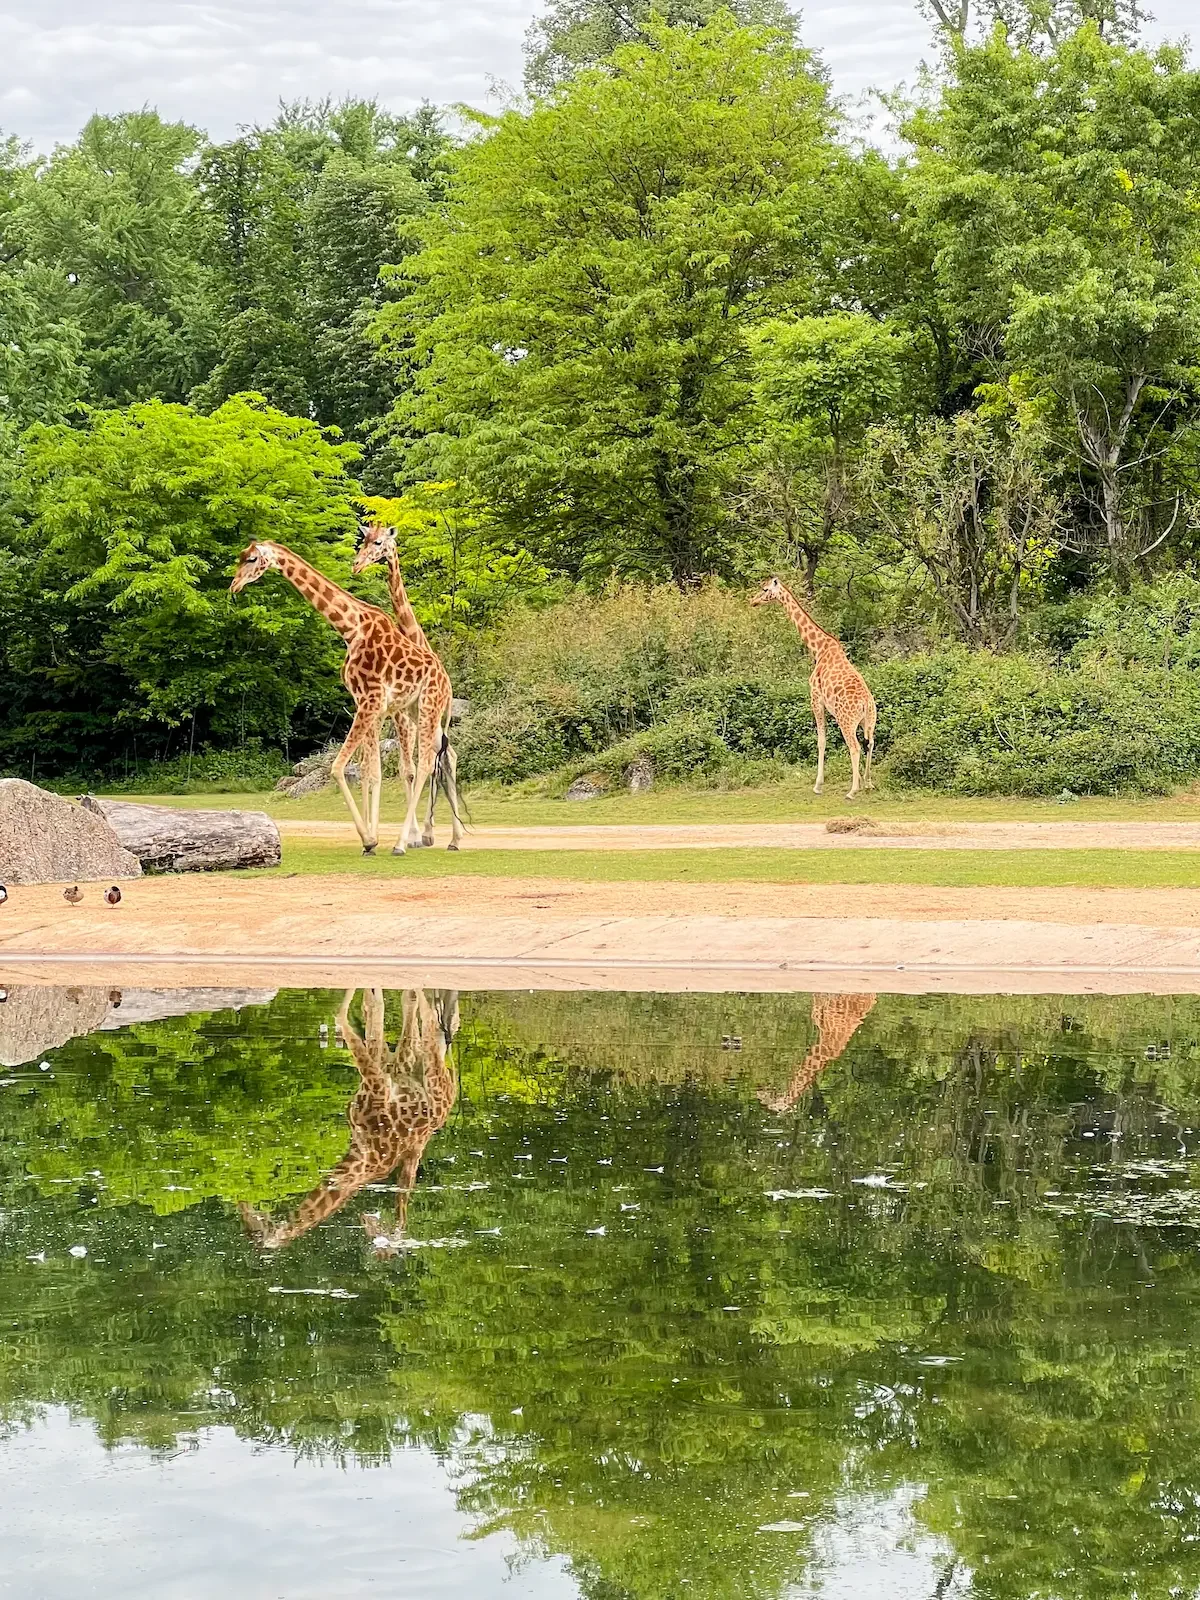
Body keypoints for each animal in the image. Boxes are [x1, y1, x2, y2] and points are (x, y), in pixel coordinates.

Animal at [230, 539, 449, 855]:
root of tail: (445, 678)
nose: (234, 585)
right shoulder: (365, 703)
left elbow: (338, 767)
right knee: (434, 760)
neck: (351, 628)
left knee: (425, 765)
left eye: (251, 559)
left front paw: (370, 839)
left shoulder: (370, 701)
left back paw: (405, 843)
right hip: (414, 711)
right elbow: (371, 771)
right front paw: (370, 841)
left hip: (428, 707)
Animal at [240, 986, 459, 1255]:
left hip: (430, 1073)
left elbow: (347, 1014)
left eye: (256, 1233)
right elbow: (370, 1009)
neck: (360, 1158)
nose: (244, 1206)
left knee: (428, 1018)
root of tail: (450, 1095)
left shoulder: (377, 1079)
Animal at [351, 522, 465, 852]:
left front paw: (417, 834)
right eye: (362, 540)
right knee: (439, 760)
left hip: (435, 721)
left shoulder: (409, 718)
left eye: (379, 542)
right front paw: (415, 834)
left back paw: (447, 836)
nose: (357, 564)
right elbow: (408, 768)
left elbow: (414, 768)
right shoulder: (401, 717)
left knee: (447, 758)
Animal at [750, 576, 876, 798]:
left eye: (765, 589)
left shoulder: (815, 699)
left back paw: (852, 791)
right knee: (870, 744)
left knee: (855, 747)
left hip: (847, 721)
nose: (753, 601)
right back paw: (868, 783)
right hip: (869, 722)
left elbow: (821, 741)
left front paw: (818, 785)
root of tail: (866, 703)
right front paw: (860, 782)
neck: (818, 648)